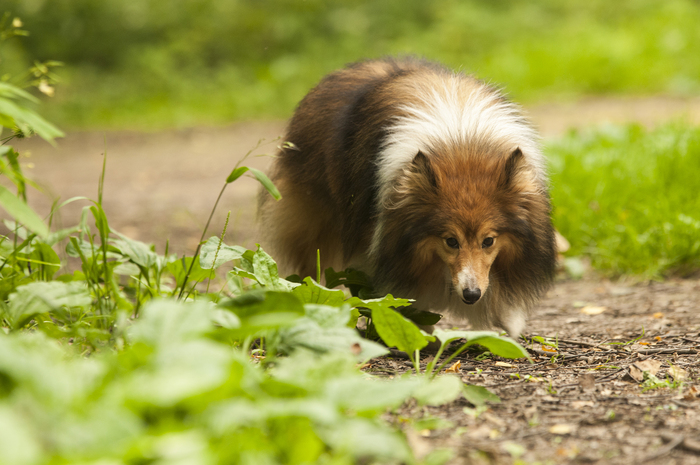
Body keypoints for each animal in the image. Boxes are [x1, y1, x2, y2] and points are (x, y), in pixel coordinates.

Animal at [258, 56, 556, 336]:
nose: (471, 295)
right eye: (450, 241)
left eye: (489, 241)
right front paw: (416, 327)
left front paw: (507, 322)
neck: (462, 141)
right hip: (313, 220)